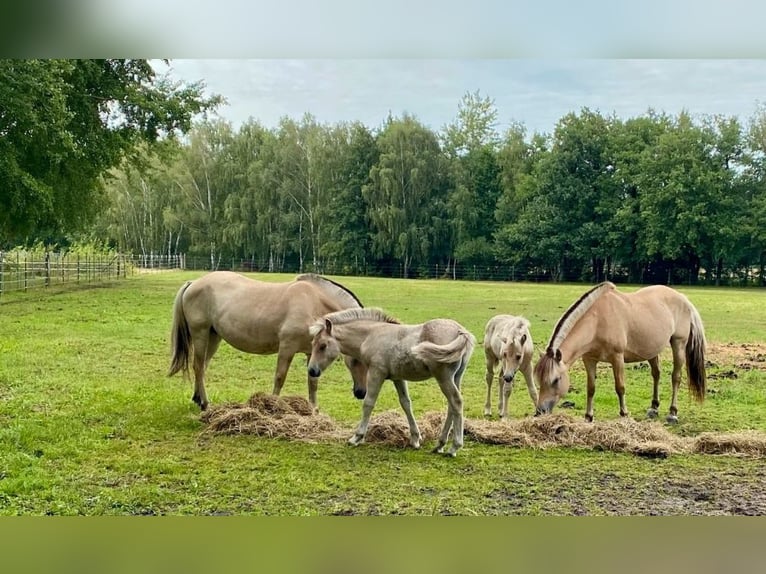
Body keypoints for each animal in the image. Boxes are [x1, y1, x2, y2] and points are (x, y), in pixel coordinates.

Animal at [170, 272, 368, 412]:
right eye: (356, 359)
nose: (361, 392)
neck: (314, 303)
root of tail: (193, 283)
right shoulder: (287, 348)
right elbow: (280, 377)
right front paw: (273, 406)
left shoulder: (311, 354)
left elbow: (313, 382)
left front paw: (313, 409)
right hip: (201, 334)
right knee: (198, 366)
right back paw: (205, 403)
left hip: (213, 337)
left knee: (202, 367)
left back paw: (198, 399)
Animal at [304, 308, 474, 462]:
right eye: (312, 343)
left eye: (323, 345)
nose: (312, 370)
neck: (370, 335)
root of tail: (460, 332)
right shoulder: (398, 378)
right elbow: (406, 403)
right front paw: (415, 439)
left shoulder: (376, 373)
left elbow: (368, 403)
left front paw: (356, 438)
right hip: (456, 377)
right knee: (452, 406)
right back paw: (439, 445)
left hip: (443, 377)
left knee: (456, 402)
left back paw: (454, 447)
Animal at [536, 282, 708, 426]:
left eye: (556, 380)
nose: (540, 411)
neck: (598, 321)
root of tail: (683, 298)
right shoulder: (589, 360)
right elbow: (591, 388)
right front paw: (588, 417)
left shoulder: (617, 358)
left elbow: (620, 387)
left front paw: (624, 414)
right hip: (652, 350)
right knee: (656, 374)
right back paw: (653, 408)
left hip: (678, 344)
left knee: (676, 377)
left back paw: (672, 413)